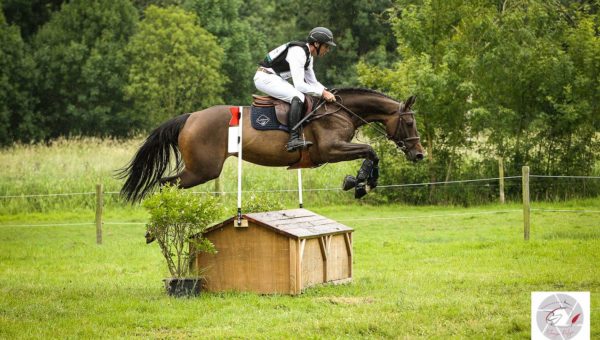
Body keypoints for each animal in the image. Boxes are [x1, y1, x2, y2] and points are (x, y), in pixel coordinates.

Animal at [119, 87, 424, 202]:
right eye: (410, 123)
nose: (419, 155)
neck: (340, 111)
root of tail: (190, 117)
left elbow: (370, 155)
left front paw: (358, 182)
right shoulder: (330, 149)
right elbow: (371, 152)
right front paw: (360, 183)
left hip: (201, 170)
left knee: (166, 183)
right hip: (203, 170)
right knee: (166, 183)